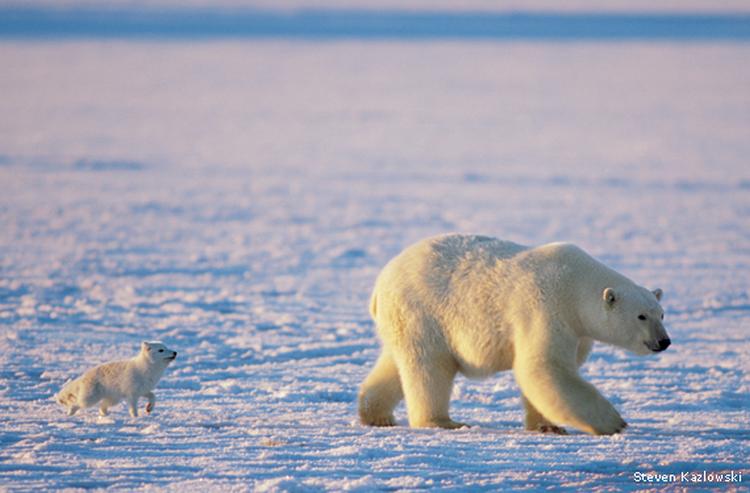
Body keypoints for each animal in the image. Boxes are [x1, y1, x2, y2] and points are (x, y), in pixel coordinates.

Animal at [358, 234, 670, 435]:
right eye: (641, 316)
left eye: (662, 314)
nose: (663, 341)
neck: (575, 285)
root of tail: (379, 284)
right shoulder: (546, 307)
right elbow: (543, 366)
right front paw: (613, 422)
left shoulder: (579, 332)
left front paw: (548, 426)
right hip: (424, 311)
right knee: (429, 367)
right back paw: (442, 421)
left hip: (405, 320)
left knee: (395, 364)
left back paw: (375, 414)